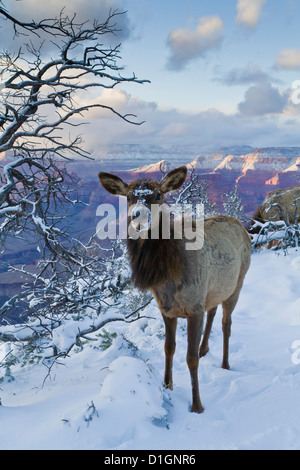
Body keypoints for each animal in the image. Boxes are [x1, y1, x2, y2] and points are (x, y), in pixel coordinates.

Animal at [98, 166, 251, 412]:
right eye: (128, 196)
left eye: (158, 195)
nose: (138, 216)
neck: (166, 277)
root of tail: (241, 225)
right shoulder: (167, 309)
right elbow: (168, 348)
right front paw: (167, 385)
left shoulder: (194, 307)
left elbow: (190, 358)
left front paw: (197, 404)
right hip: (214, 289)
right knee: (213, 310)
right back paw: (204, 348)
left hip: (238, 283)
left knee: (226, 323)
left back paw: (225, 363)